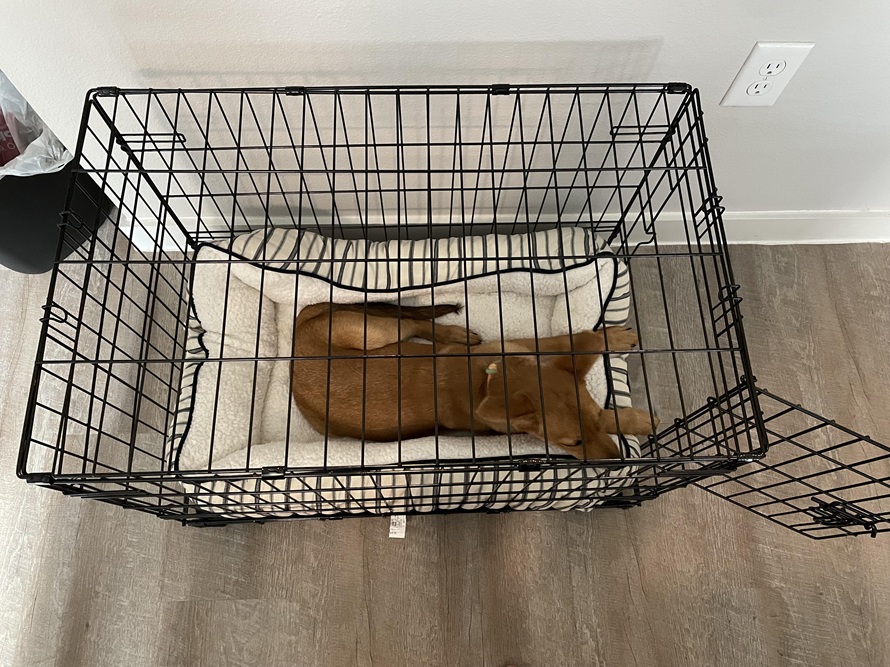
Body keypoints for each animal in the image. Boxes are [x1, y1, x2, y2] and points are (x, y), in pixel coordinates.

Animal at [294, 306, 660, 462]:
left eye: (595, 424)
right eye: (572, 443)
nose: (615, 461)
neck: (489, 381)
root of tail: (297, 345)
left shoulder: (525, 345)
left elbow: (570, 340)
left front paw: (611, 337)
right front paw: (638, 421)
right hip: (376, 333)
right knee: (411, 321)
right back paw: (452, 333)